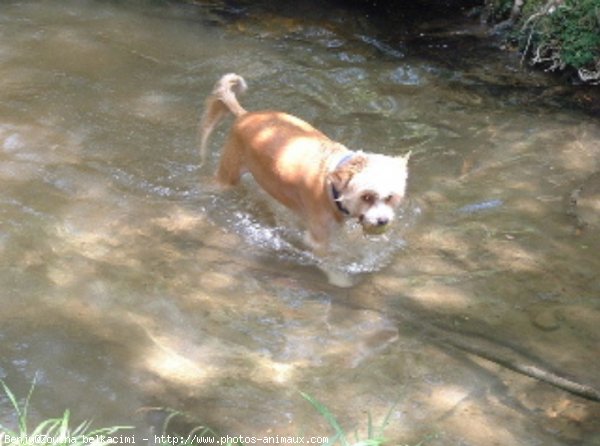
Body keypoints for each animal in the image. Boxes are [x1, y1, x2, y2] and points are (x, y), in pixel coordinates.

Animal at [199, 73, 410, 282]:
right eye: (367, 196)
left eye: (390, 197)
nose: (383, 221)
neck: (332, 186)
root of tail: (244, 115)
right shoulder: (318, 239)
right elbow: (330, 261)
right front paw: (339, 279)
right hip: (228, 175)